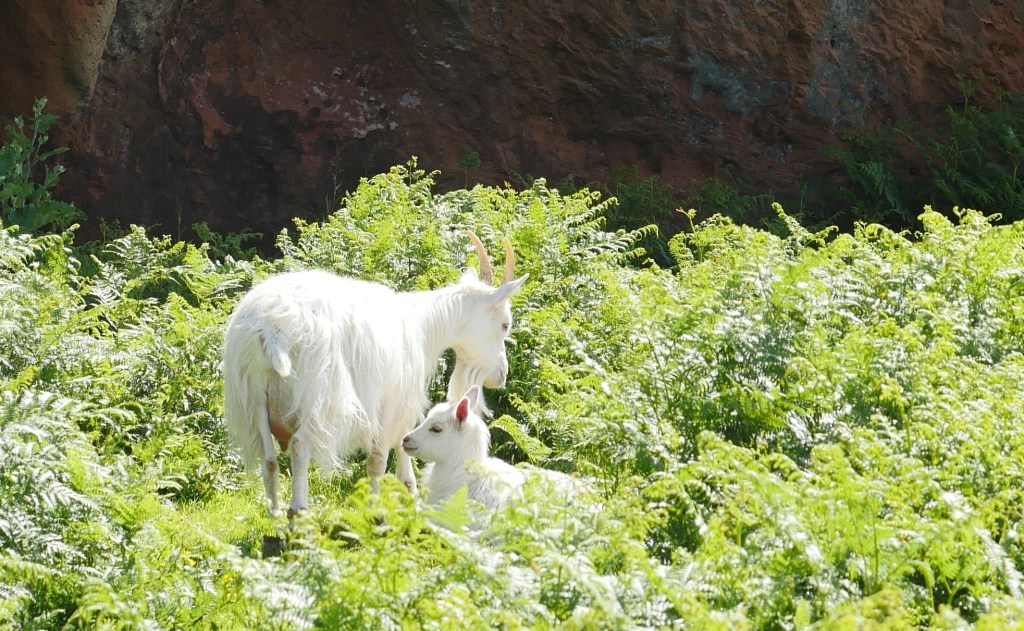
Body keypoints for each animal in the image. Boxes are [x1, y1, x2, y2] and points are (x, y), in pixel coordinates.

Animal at [222, 232, 527, 516]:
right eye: (505, 324)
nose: (501, 375)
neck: (423, 327)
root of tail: (272, 330)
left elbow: (404, 454)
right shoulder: (392, 403)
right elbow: (379, 460)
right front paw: (375, 510)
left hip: (251, 398)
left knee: (268, 459)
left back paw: (273, 514)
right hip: (320, 398)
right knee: (299, 444)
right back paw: (298, 511)